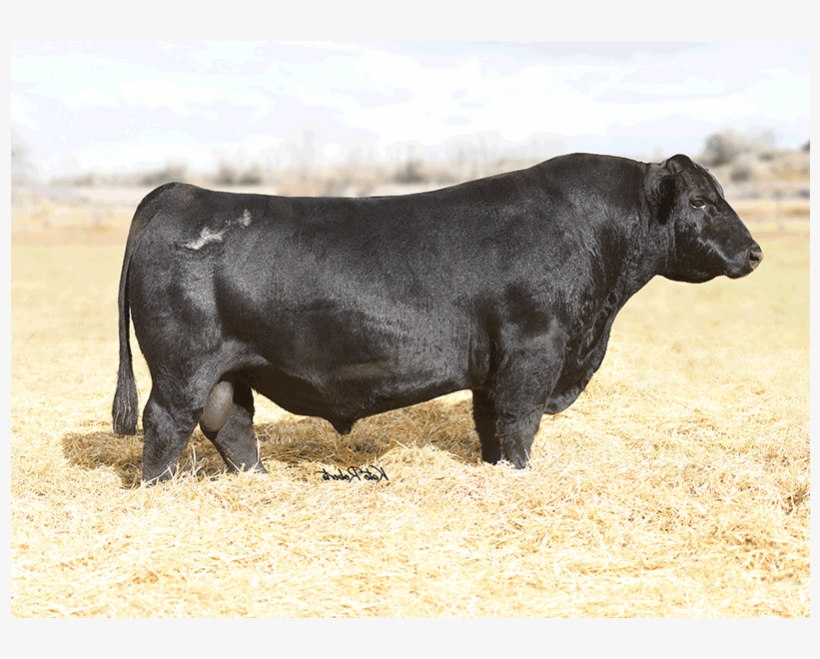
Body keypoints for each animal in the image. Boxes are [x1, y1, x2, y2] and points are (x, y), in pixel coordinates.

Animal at [112, 153, 762, 483]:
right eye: (701, 201)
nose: (754, 252)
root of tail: (179, 192)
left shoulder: (494, 366)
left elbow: (490, 424)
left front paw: (498, 471)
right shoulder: (534, 350)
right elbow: (520, 422)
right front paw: (522, 476)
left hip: (229, 368)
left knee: (231, 424)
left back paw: (258, 482)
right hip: (182, 366)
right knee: (166, 423)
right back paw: (158, 488)